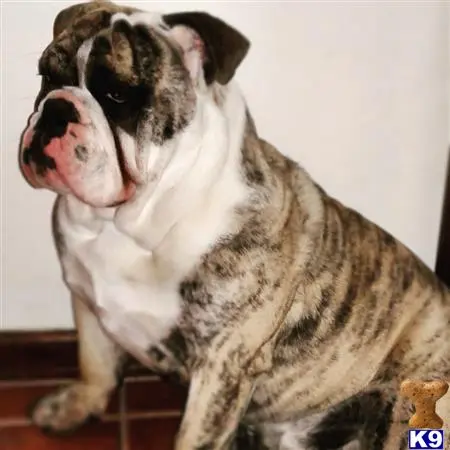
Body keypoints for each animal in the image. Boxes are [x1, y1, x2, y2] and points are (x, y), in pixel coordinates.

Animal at [18, 1, 450, 449]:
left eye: (117, 95)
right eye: (46, 76)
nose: (57, 108)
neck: (130, 222)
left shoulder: (222, 367)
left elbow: (194, 437)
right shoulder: (85, 299)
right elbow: (95, 363)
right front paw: (76, 406)